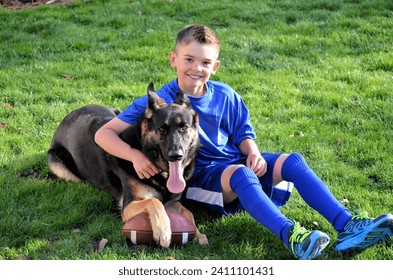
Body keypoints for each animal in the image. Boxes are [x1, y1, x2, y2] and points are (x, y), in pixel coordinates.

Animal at [47, 83, 208, 247]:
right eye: (162, 129)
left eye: (184, 127)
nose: (176, 155)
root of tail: (70, 114)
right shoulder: (128, 206)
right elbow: (154, 201)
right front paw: (163, 231)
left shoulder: (173, 202)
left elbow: (188, 212)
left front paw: (198, 233)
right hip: (57, 162)